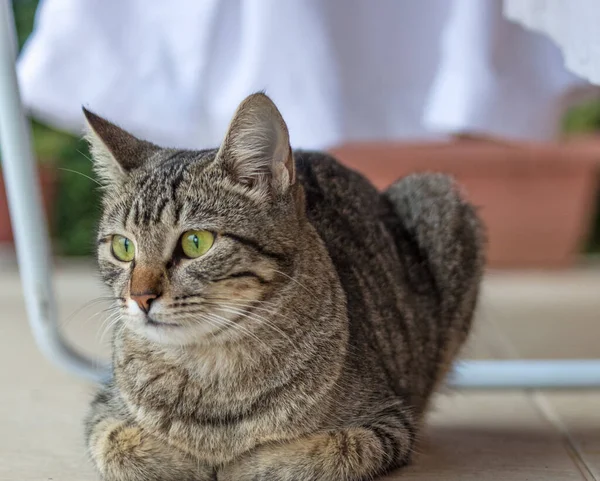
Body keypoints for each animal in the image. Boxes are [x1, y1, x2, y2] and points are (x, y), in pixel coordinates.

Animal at [84, 92, 486, 478]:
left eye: (195, 242)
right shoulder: (103, 414)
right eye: (123, 247)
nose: (140, 297)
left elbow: (316, 452)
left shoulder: (388, 424)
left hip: (438, 198)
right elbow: (121, 447)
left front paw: (237, 465)